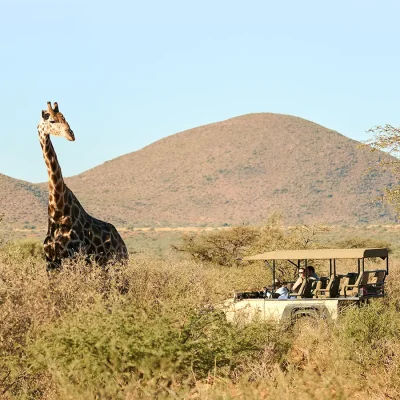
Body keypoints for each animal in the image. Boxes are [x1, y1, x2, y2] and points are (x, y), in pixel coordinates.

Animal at [38, 100, 127, 270]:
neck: (58, 212)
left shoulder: (72, 258)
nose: (71, 135)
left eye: (65, 118)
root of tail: (123, 244)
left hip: (118, 264)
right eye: (52, 121)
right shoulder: (51, 262)